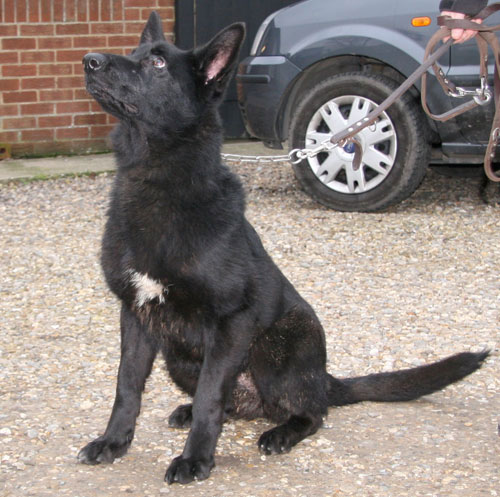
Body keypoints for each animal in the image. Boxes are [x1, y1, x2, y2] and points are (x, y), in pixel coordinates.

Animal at [80, 12, 490, 484]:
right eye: (134, 53)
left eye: (158, 64)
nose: (89, 60)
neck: (157, 178)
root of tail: (322, 377)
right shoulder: (136, 315)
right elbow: (127, 386)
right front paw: (114, 441)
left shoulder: (231, 324)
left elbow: (209, 399)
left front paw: (195, 459)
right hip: (178, 356)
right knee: (236, 404)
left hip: (276, 347)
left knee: (312, 411)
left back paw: (282, 431)